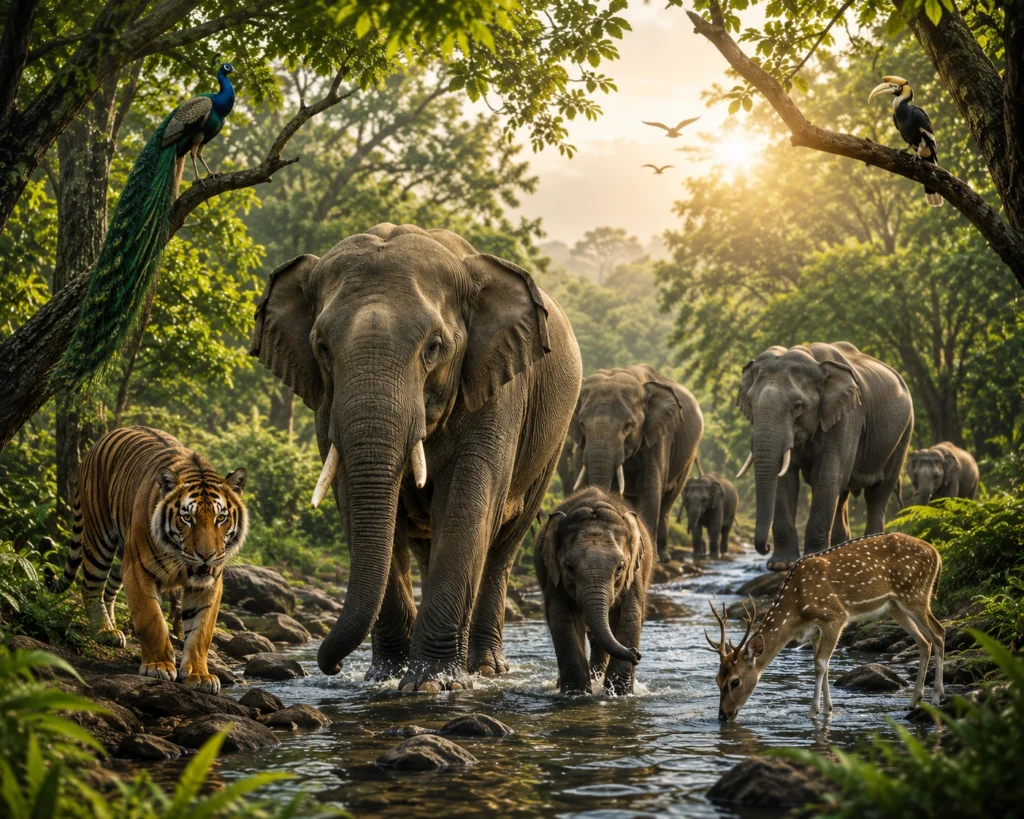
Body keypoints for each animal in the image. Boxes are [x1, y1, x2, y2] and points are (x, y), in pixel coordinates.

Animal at [249, 223, 582, 691]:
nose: (330, 666)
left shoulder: (497, 391)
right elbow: (353, 501)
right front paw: (383, 678)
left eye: (434, 347)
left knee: (501, 547)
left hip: (551, 442)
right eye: (322, 348)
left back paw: (486, 669)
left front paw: (432, 684)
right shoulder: (325, 406)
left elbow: (466, 506)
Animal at [535, 487, 653, 695]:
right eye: (569, 568)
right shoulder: (554, 578)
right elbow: (563, 619)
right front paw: (577, 694)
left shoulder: (634, 577)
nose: (636, 654)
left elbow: (630, 617)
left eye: (620, 568)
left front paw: (619, 694)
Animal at [568, 364, 704, 563]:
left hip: (689, 455)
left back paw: (663, 557)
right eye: (582, 424)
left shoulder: (658, 437)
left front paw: (648, 559)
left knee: (668, 501)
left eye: (628, 426)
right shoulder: (581, 445)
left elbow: (649, 490)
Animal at [736, 342, 913, 571]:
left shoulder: (848, 417)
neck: (813, 359)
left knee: (877, 495)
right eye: (750, 403)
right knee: (843, 495)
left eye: (797, 406)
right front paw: (780, 565)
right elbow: (786, 481)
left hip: (903, 434)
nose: (765, 546)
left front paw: (810, 560)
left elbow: (826, 477)